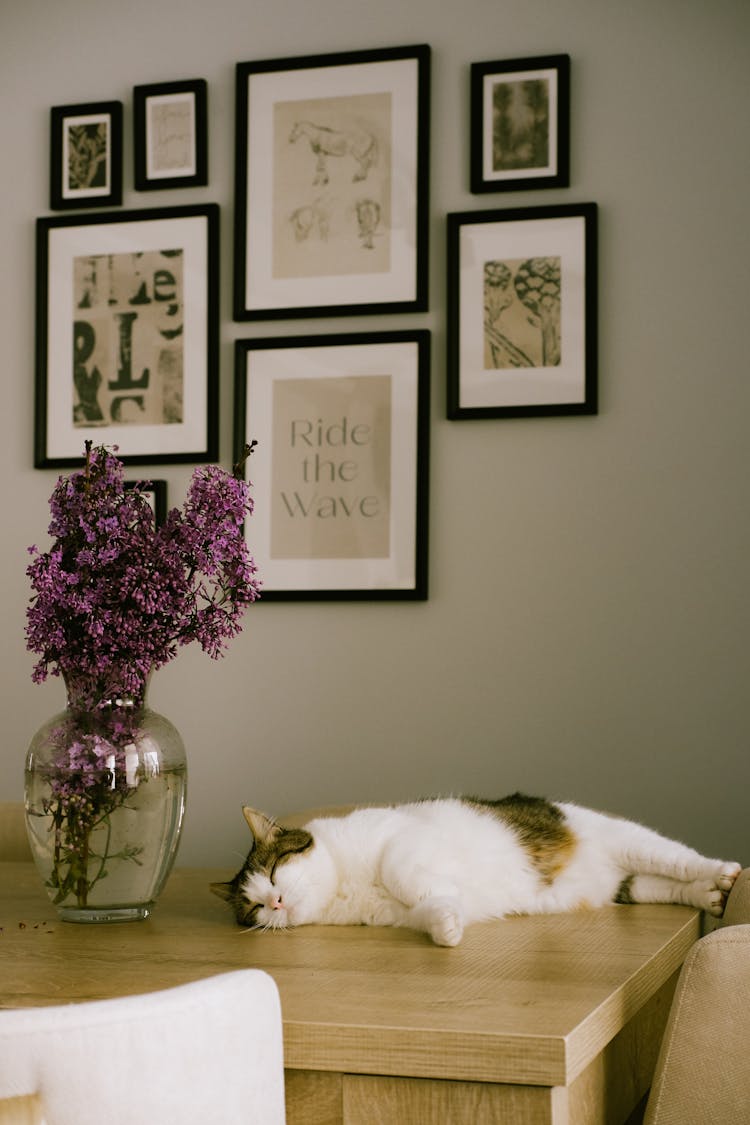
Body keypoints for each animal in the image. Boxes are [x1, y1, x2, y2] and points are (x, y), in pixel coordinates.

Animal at [208, 796, 742, 945]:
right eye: (253, 907)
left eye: (274, 872)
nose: (275, 902)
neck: (344, 886)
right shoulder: (398, 916)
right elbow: (429, 911)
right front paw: (447, 925)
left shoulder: (400, 839)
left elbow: (402, 870)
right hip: (624, 886)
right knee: (660, 886)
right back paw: (708, 895)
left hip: (628, 840)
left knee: (681, 859)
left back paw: (724, 873)